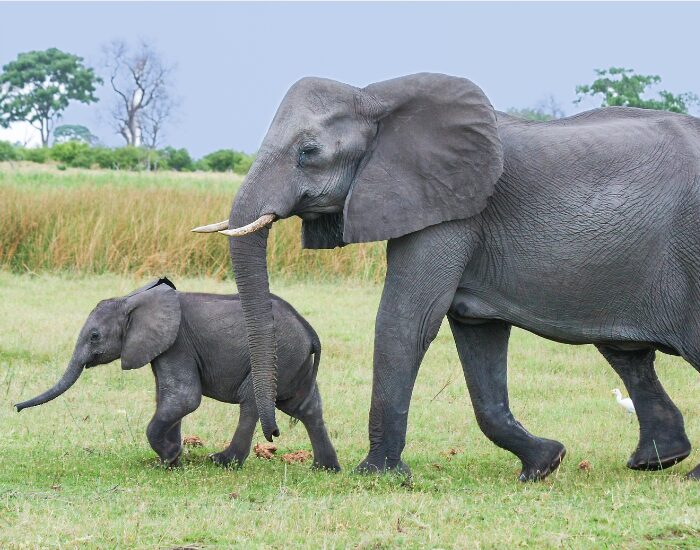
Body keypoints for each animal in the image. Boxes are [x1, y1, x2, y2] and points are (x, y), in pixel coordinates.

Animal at [15, 278, 340, 470]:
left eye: (94, 336)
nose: (16, 407)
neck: (133, 300)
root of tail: (310, 331)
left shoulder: (177, 343)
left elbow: (184, 398)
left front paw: (170, 456)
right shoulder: (163, 348)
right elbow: (168, 399)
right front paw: (171, 460)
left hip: (278, 355)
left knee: (252, 402)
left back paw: (222, 461)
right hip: (293, 362)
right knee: (306, 407)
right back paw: (324, 469)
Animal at [193, 72, 700, 481]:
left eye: (308, 152)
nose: (275, 434)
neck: (376, 97)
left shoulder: (452, 210)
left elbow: (407, 320)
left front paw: (377, 476)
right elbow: (477, 335)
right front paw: (545, 463)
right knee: (626, 354)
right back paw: (655, 462)